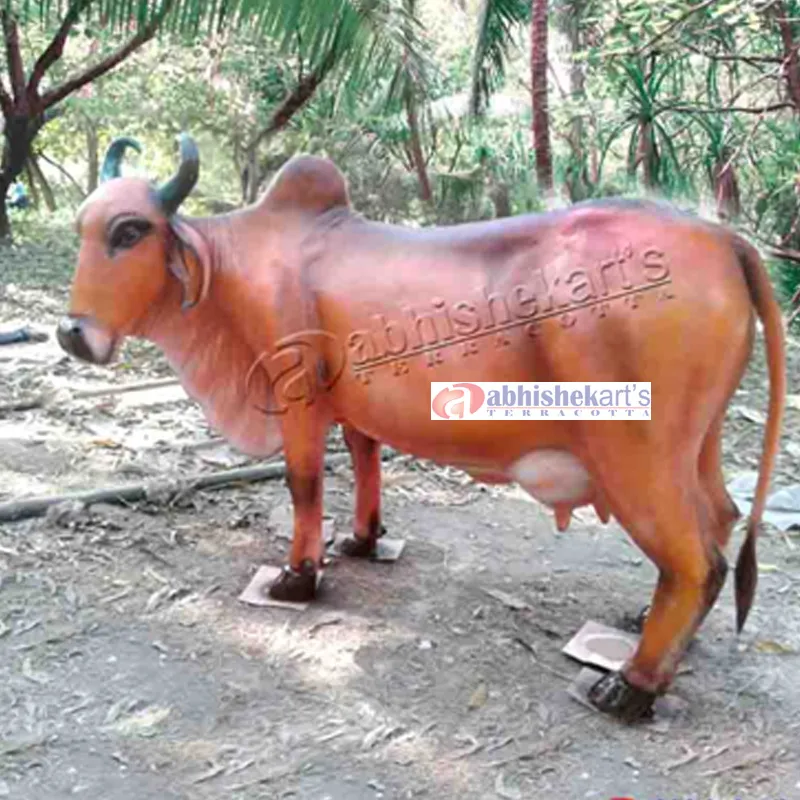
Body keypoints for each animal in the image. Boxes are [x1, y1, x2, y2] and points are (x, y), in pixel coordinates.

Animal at [56, 132, 786, 722]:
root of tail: (722, 239)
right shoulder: (352, 404)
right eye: (81, 227)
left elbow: (303, 484)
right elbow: (365, 460)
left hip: (636, 454)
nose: (71, 334)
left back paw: (631, 686)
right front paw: (361, 540)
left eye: (129, 231)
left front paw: (298, 577)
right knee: (718, 522)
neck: (238, 271)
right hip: (697, 443)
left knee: (695, 561)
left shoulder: (299, 400)